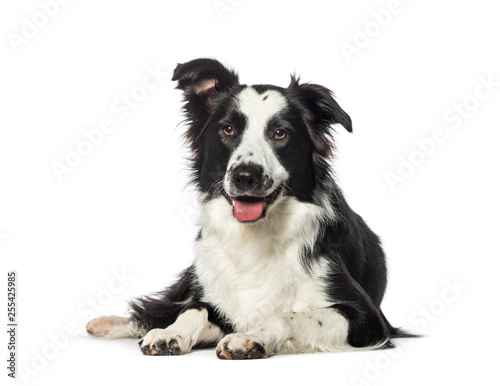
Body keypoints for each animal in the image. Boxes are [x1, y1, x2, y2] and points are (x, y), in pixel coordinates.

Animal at [87, 58, 406, 360]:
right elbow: (194, 309)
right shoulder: (214, 295)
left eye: (280, 134)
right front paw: (170, 333)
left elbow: (287, 315)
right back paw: (108, 323)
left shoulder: (368, 319)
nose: (245, 176)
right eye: (227, 129)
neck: (253, 238)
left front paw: (250, 337)